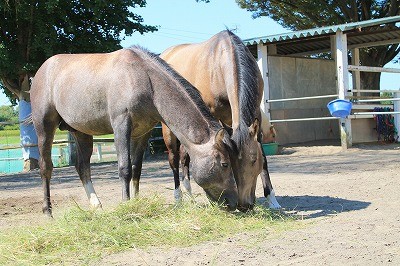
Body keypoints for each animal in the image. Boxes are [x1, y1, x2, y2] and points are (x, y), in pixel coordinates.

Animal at [31, 45, 239, 216]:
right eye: (224, 164)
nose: (235, 202)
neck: (144, 80)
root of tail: (42, 70)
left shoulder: (142, 133)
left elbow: (136, 169)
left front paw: (137, 202)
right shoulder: (121, 125)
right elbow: (124, 168)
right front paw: (126, 204)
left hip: (81, 132)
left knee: (82, 167)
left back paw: (96, 205)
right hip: (44, 127)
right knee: (45, 167)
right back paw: (48, 212)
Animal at [160, 30, 282, 211]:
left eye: (254, 160)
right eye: (230, 163)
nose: (244, 205)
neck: (221, 59)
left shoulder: (254, 118)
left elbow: (265, 159)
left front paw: (272, 199)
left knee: (184, 157)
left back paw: (190, 196)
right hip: (169, 129)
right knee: (174, 159)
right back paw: (178, 199)